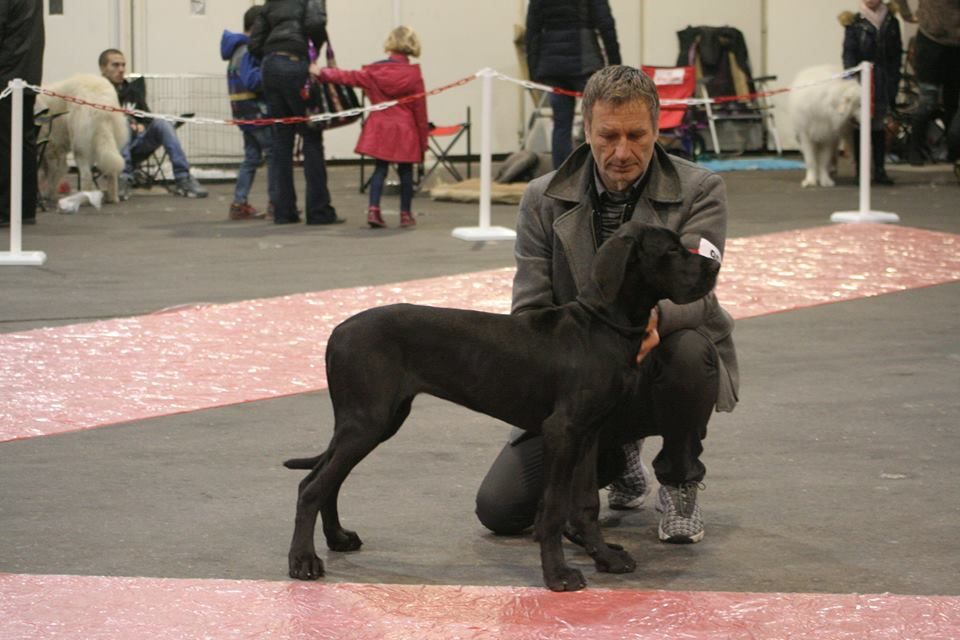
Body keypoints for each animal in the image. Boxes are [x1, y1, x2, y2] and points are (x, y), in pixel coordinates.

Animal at [37, 74, 128, 205]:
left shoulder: (52, 148)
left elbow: (52, 172)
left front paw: (48, 194)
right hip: (110, 139)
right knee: (111, 172)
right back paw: (113, 198)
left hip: (79, 145)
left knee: (86, 175)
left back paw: (84, 198)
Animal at [284, 220, 720, 592]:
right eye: (672, 250)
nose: (715, 265)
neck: (601, 326)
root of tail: (336, 332)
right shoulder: (563, 431)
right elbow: (553, 508)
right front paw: (558, 574)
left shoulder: (588, 433)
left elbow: (585, 505)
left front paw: (605, 558)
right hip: (368, 421)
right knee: (311, 485)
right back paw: (303, 561)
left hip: (377, 419)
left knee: (327, 478)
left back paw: (338, 538)